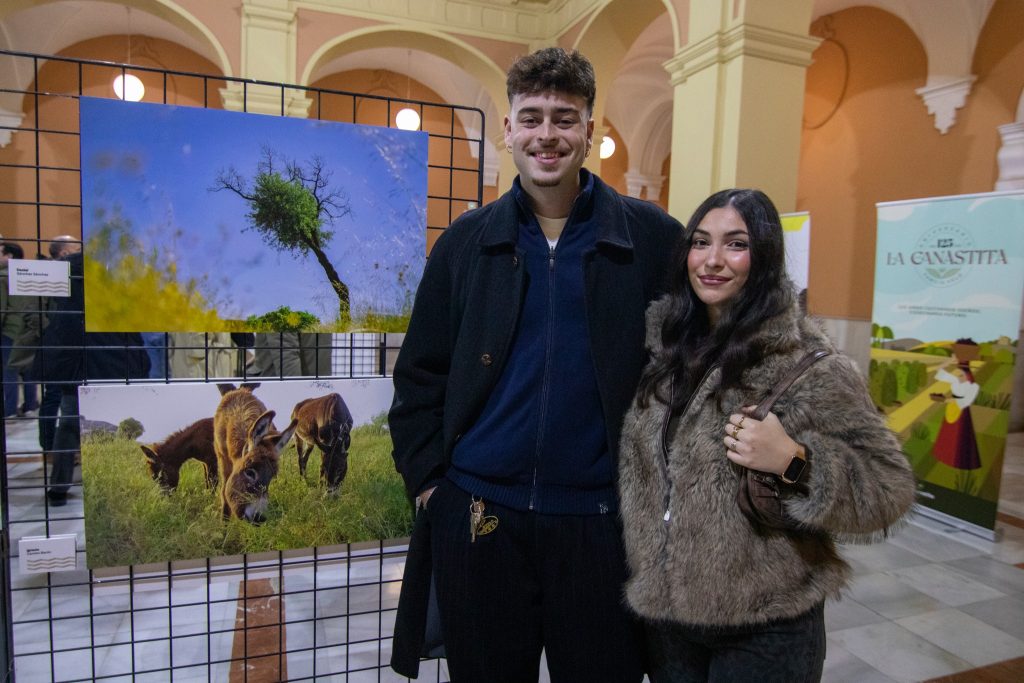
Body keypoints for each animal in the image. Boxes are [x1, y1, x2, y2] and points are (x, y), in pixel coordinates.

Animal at [213, 383, 297, 523]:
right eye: (249, 472)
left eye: (271, 477)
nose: (259, 517)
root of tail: (242, 390)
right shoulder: (222, 457)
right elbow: (224, 493)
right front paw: (223, 527)